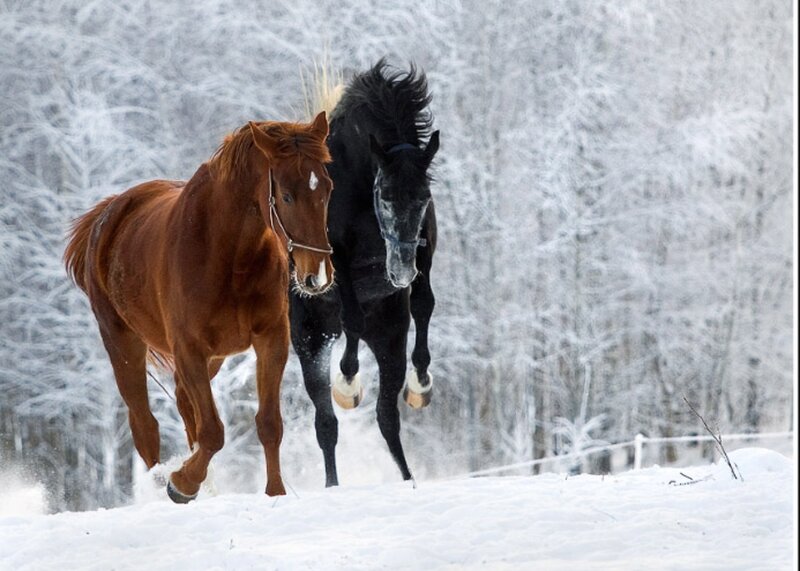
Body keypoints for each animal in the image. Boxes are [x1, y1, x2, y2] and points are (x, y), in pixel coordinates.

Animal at [64, 113, 334, 503]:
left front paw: (275, 492)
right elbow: (212, 431)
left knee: (181, 401)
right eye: (285, 194)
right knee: (145, 423)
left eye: (326, 189)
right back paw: (164, 479)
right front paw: (181, 482)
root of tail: (107, 214)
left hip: (215, 358)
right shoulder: (189, 347)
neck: (228, 253)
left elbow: (269, 423)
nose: (318, 275)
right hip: (123, 343)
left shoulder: (271, 340)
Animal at [290, 60, 440, 487]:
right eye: (385, 196)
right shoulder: (335, 257)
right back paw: (332, 482)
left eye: (424, 196)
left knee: (387, 417)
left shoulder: (424, 248)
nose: (400, 274)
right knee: (326, 423)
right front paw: (347, 381)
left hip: (388, 336)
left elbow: (424, 304)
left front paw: (421, 383)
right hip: (311, 339)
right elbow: (352, 317)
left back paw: (407, 478)